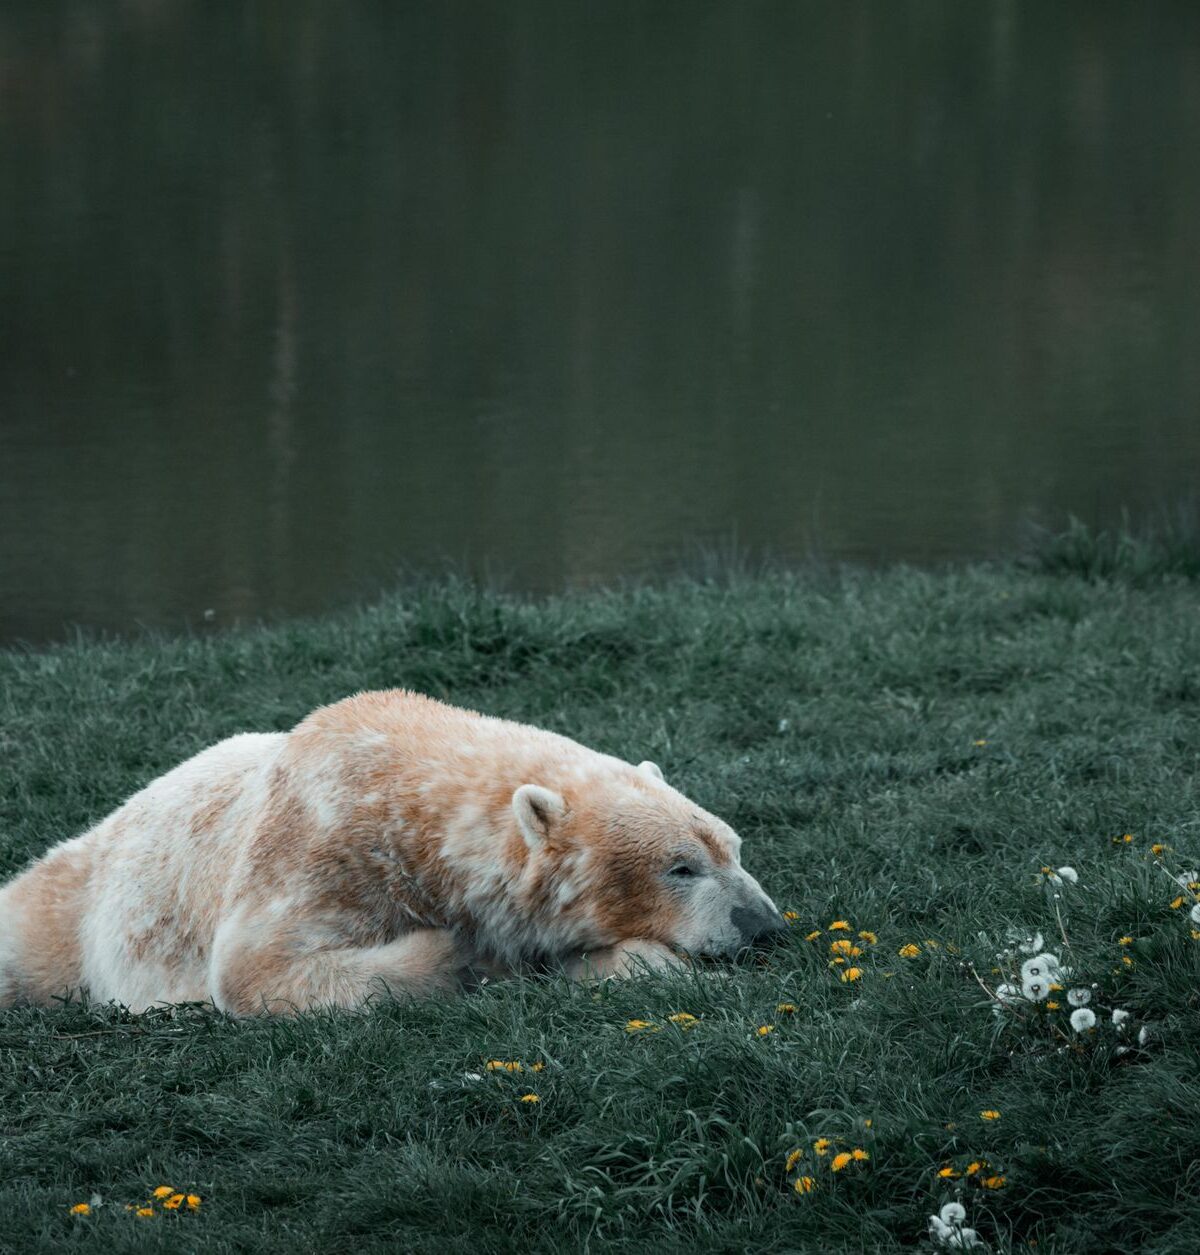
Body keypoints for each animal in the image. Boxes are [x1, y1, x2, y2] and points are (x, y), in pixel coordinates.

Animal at [0, 689, 783, 1015]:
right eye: (680, 866)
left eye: (733, 847)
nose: (764, 926)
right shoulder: (318, 842)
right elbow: (258, 969)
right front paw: (457, 958)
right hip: (67, 906)